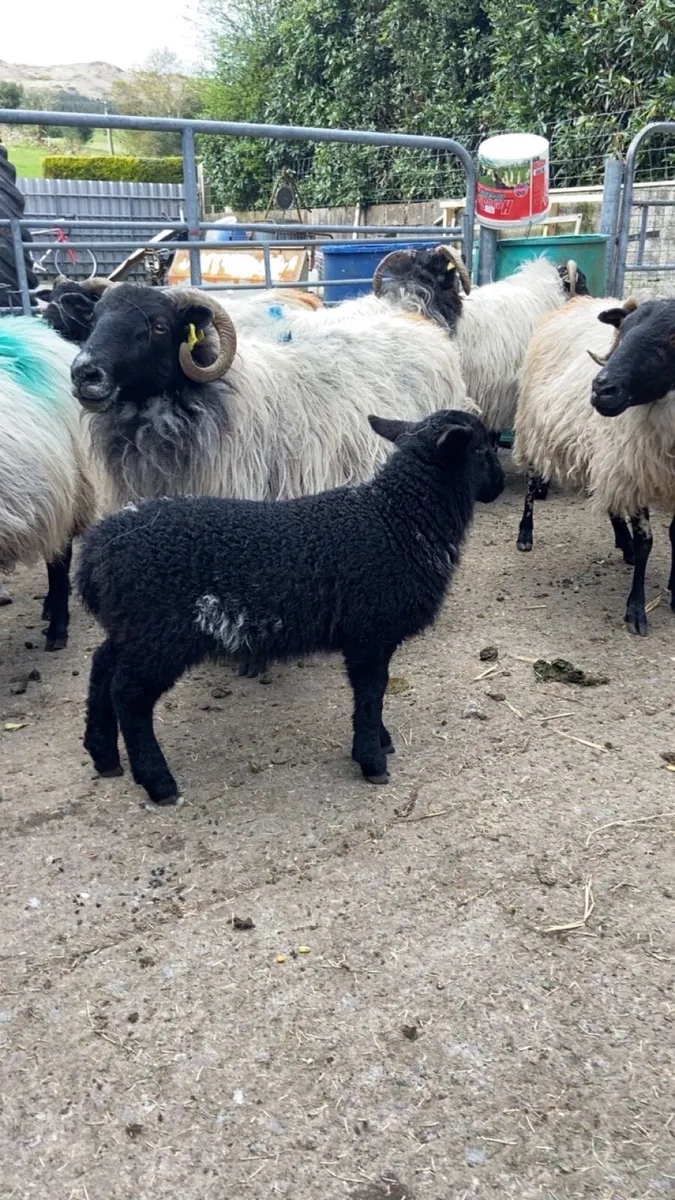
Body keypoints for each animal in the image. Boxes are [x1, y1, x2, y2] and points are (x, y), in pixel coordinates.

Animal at [77, 408, 505, 805]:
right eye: (481, 449)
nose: (499, 485)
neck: (398, 519)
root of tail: (96, 548)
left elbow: (374, 692)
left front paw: (380, 740)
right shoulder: (369, 632)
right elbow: (371, 691)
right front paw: (372, 759)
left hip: (133, 628)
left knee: (102, 667)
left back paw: (104, 756)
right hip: (160, 633)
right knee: (129, 695)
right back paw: (158, 783)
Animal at [513, 294, 675, 636]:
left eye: (673, 337)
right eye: (622, 332)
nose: (601, 388)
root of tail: (576, 301)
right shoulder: (634, 469)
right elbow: (647, 541)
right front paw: (636, 611)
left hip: (602, 450)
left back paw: (624, 544)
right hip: (535, 427)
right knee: (531, 483)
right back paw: (525, 534)